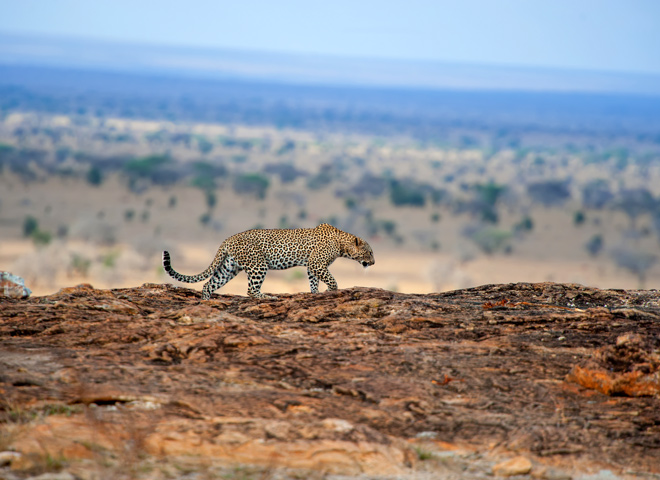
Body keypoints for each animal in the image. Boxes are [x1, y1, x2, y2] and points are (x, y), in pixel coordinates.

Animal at [162, 223, 375, 299]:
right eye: (370, 252)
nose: (373, 263)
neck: (343, 244)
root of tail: (228, 239)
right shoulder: (317, 263)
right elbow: (332, 280)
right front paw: (332, 291)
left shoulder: (312, 266)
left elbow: (313, 281)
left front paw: (315, 293)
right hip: (258, 265)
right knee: (251, 290)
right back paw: (268, 297)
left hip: (230, 267)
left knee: (209, 284)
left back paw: (206, 302)